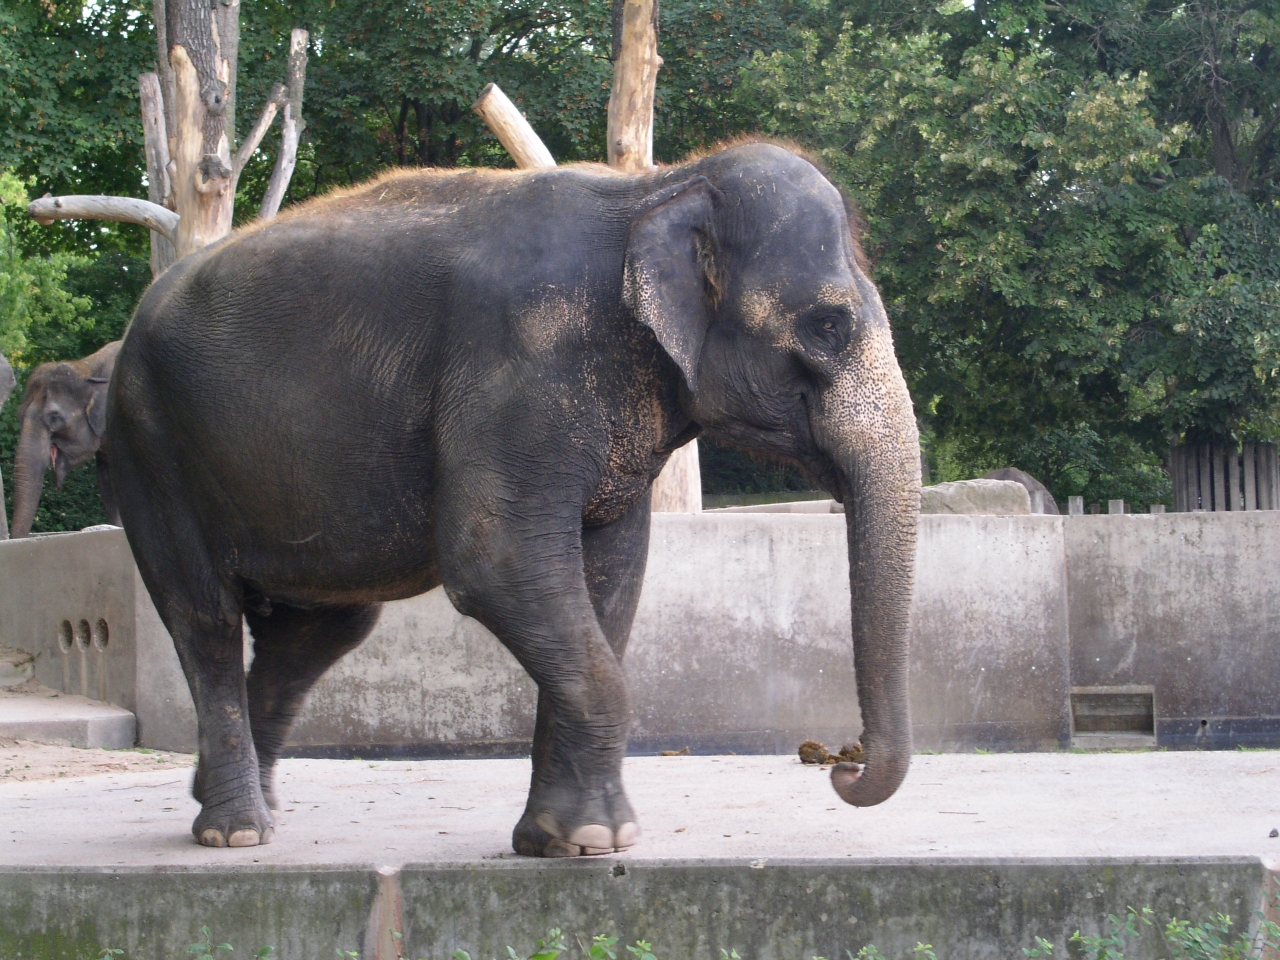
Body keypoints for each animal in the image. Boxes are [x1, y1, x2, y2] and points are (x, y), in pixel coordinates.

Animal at [102, 138, 921, 855]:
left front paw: (554, 840)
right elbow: (497, 561)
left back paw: (244, 804)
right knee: (204, 616)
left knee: (319, 630)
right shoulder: (519, 364)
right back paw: (235, 831)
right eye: (829, 326)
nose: (840, 764)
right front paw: (600, 839)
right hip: (150, 445)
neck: (656, 188)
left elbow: (610, 581)